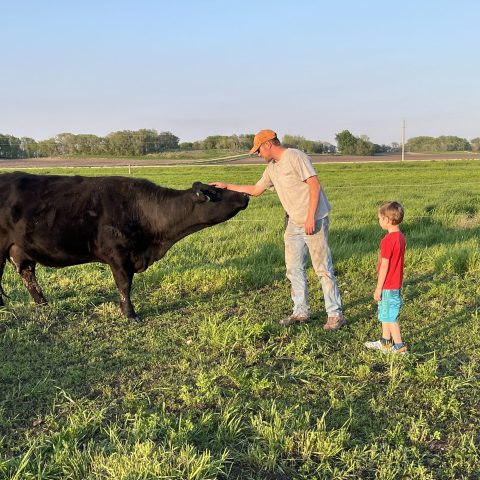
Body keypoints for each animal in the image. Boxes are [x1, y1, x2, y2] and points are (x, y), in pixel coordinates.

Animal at [0, 172, 248, 318]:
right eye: (216, 192)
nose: (245, 196)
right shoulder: (118, 256)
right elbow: (124, 285)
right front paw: (130, 314)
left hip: (20, 250)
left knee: (28, 275)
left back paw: (43, 305)